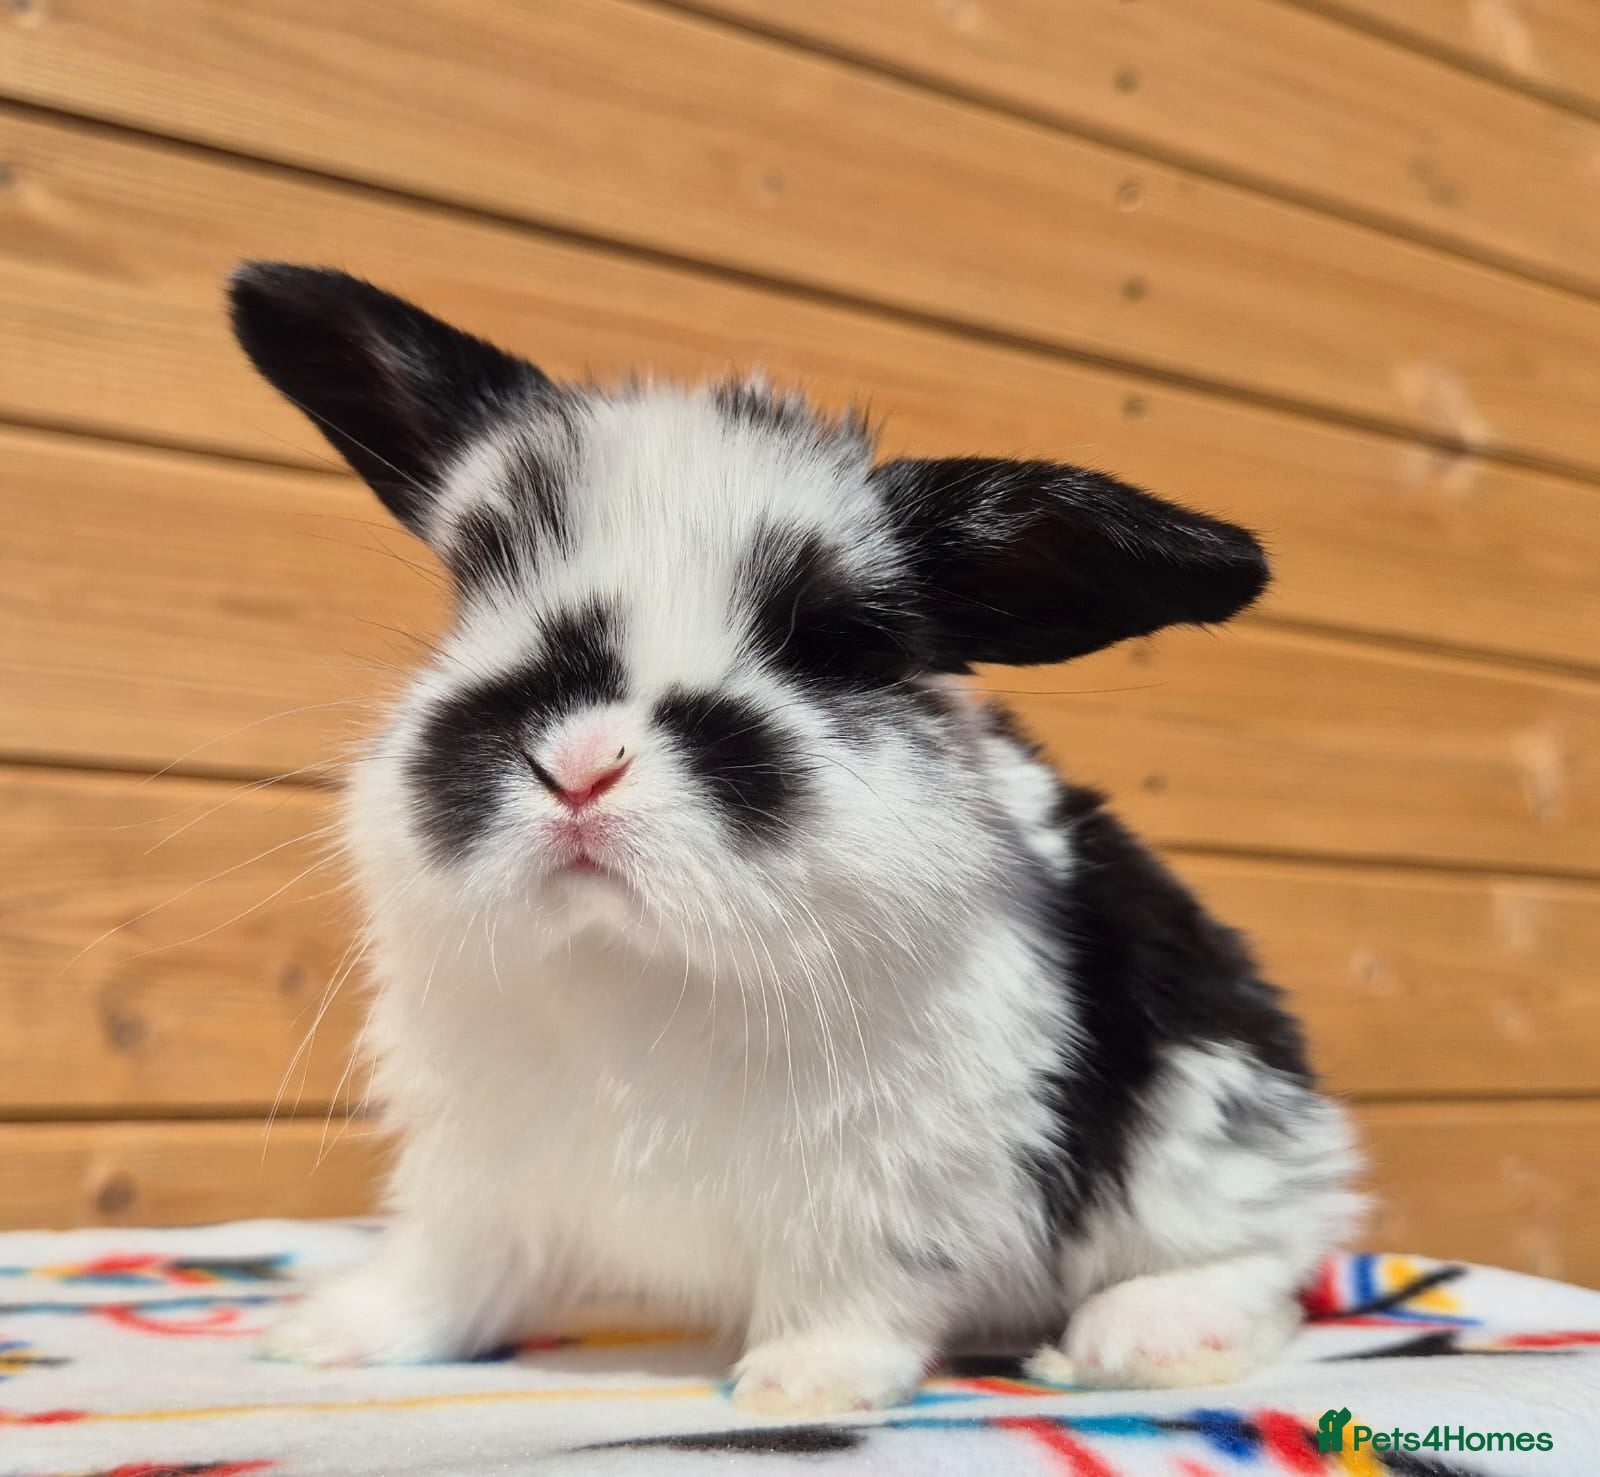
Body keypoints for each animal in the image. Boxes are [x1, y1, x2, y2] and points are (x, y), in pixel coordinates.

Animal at [228, 262, 1361, 1416]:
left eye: (828, 643)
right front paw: (331, 1336)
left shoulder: (887, 1184)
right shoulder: (477, 1166)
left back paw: (1142, 1338)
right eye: (476, 582)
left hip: (1213, 1119)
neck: (635, 957)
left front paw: (800, 1386)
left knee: (1265, 1261)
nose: (580, 767)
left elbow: (855, 1291)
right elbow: (449, 1267)